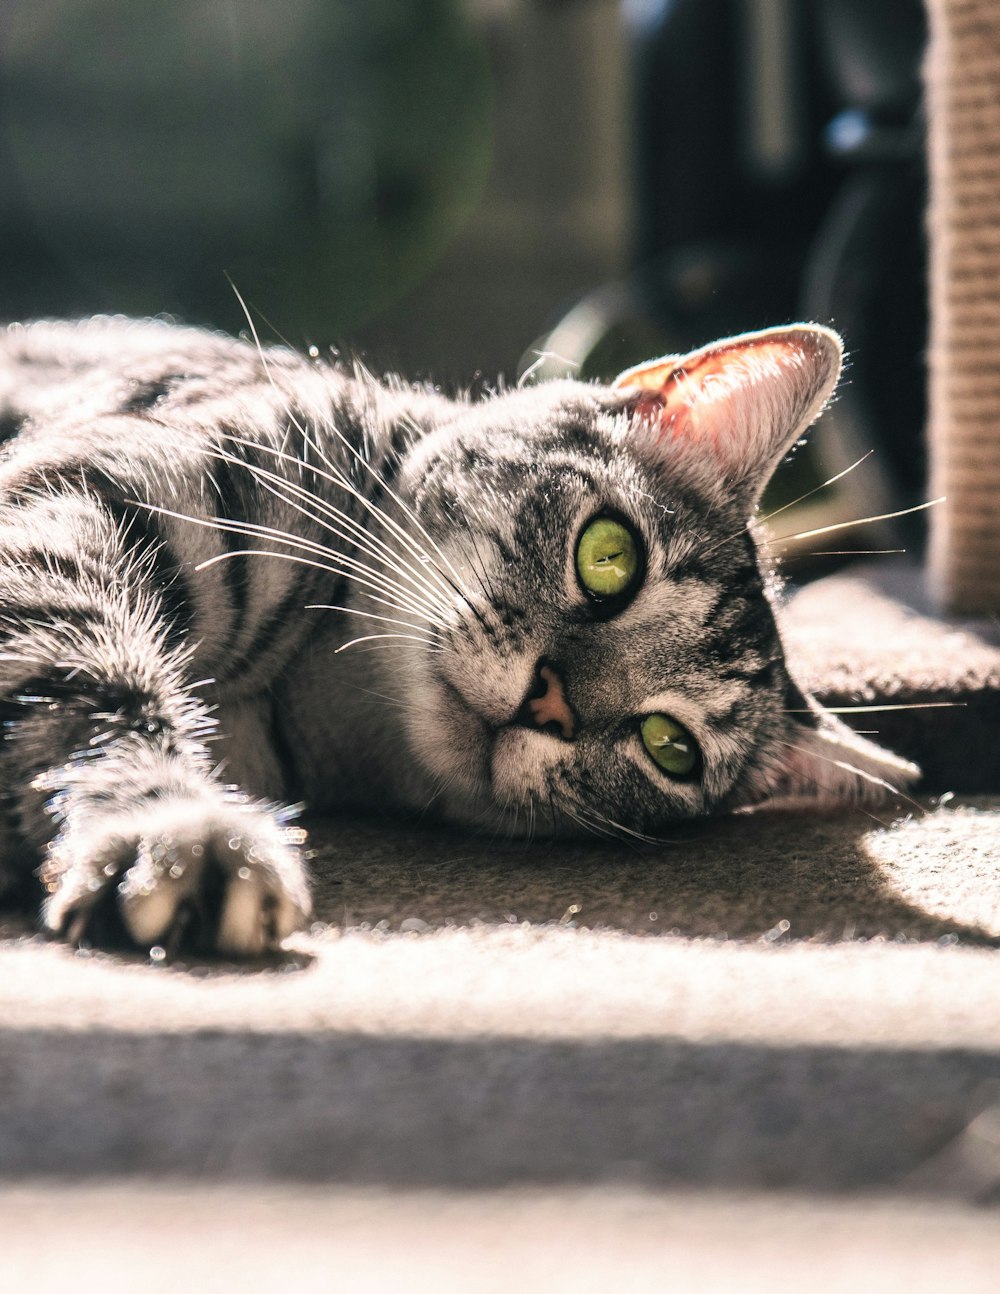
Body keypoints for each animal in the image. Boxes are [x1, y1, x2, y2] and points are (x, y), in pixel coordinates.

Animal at [0, 318, 910, 957]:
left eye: (670, 747)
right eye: (610, 555)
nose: (549, 705)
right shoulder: (86, 498)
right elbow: (89, 682)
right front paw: (169, 825)